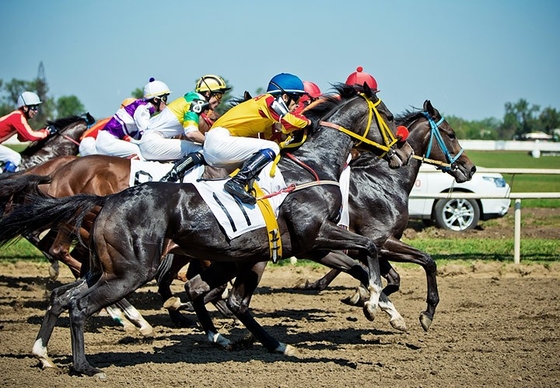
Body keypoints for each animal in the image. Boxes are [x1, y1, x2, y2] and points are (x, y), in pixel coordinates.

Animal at [0, 83, 412, 378]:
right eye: (389, 116)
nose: (404, 154)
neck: (312, 165)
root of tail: (108, 200)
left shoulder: (312, 244)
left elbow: (362, 258)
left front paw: (381, 305)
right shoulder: (315, 234)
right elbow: (369, 249)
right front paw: (375, 302)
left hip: (108, 267)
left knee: (62, 296)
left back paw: (43, 354)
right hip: (132, 271)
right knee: (82, 305)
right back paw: (88, 363)